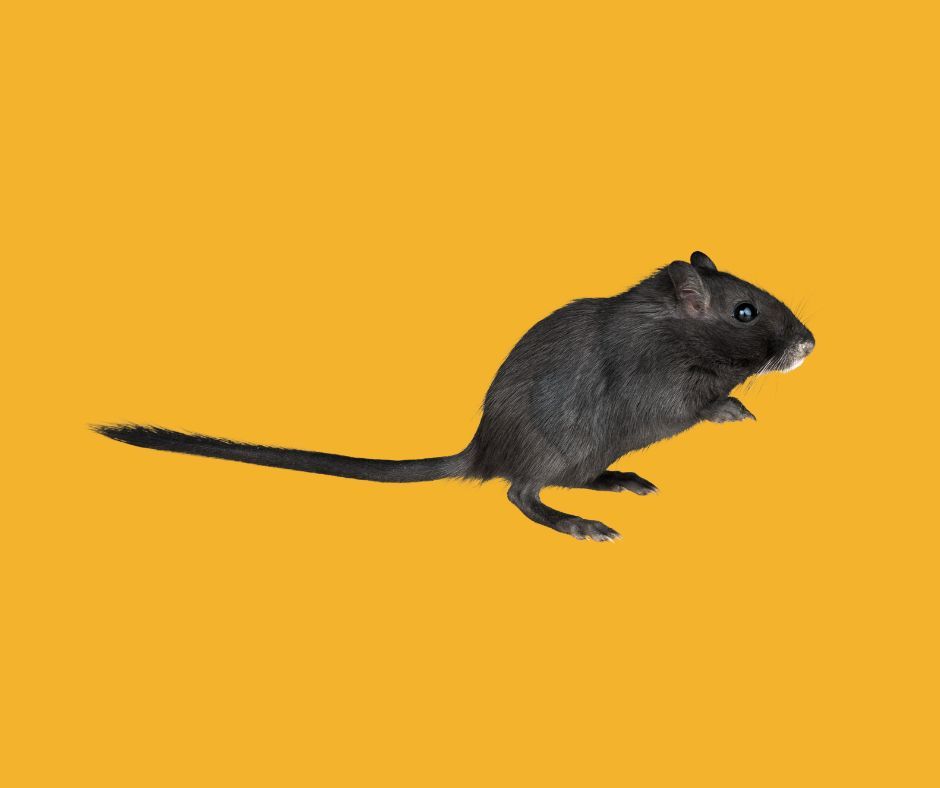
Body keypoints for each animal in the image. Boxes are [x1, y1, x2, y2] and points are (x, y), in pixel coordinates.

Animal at [95, 251, 814, 542]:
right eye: (745, 312)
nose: (810, 344)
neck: (676, 328)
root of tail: (480, 453)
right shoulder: (663, 385)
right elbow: (696, 403)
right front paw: (734, 408)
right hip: (560, 450)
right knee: (520, 495)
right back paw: (577, 524)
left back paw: (621, 482)